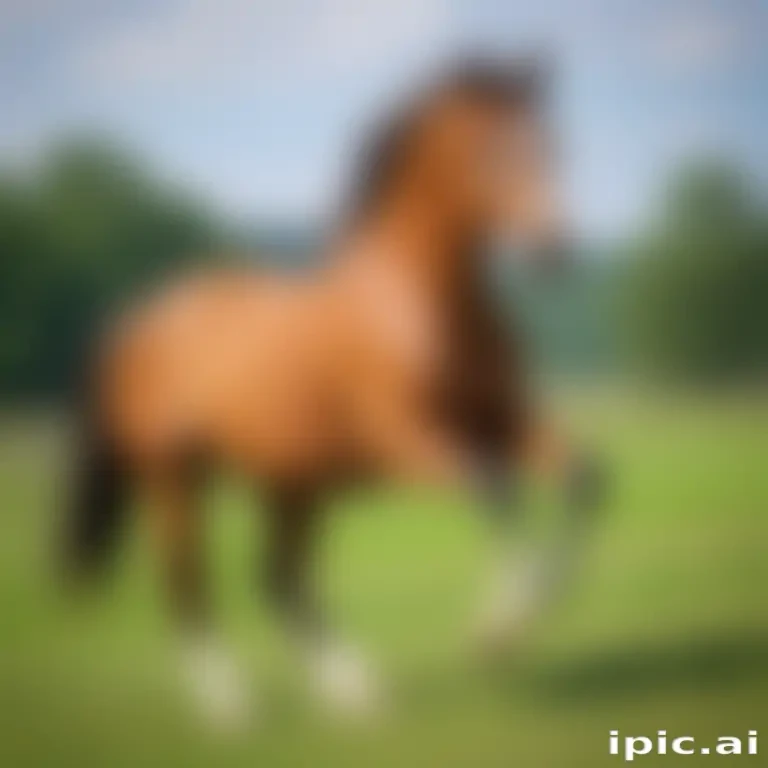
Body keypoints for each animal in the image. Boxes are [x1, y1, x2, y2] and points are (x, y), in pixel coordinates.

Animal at [63, 57, 603, 725]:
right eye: (489, 149)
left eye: (554, 144)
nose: (557, 247)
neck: (418, 304)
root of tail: (139, 320)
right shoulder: (410, 440)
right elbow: (494, 487)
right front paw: (497, 631)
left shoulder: (502, 419)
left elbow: (586, 479)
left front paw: (522, 618)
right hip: (172, 476)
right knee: (189, 582)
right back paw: (230, 705)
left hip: (293, 482)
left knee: (280, 580)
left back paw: (355, 692)